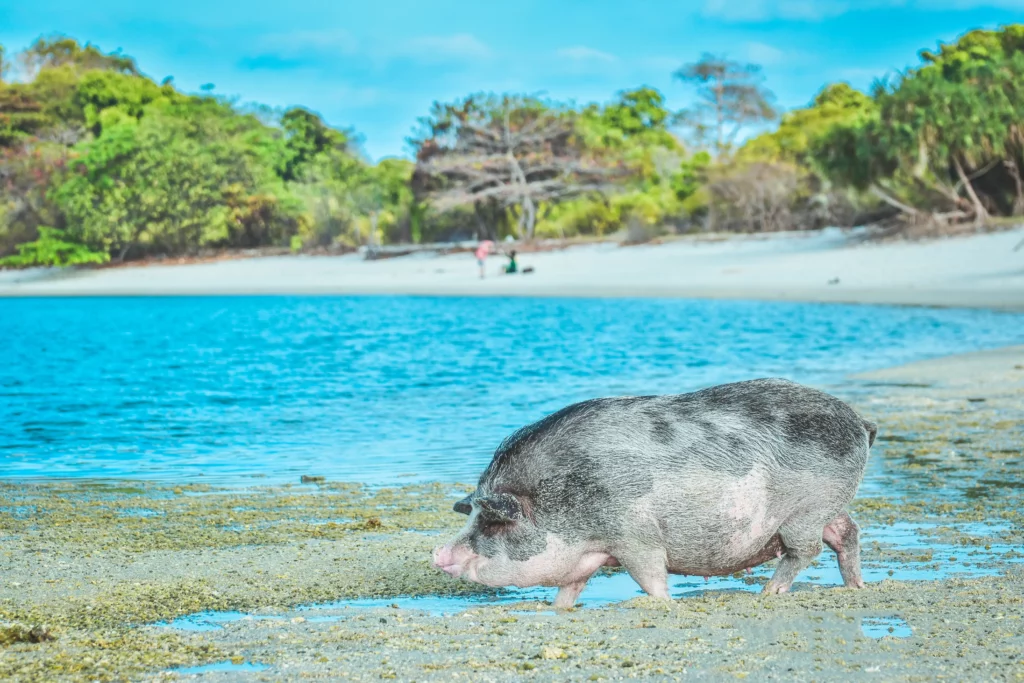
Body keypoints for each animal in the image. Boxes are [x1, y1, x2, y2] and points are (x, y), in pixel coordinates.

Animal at [428, 378, 876, 610]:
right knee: (847, 533)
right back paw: (857, 588)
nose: (437, 553)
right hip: (829, 506)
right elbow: (569, 589)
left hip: (807, 510)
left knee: (806, 549)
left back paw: (770, 592)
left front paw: (665, 603)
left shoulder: (634, 536)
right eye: (473, 515)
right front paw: (559, 609)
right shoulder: (589, 555)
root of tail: (860, 421)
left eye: (491, 521)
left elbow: (650, 577)